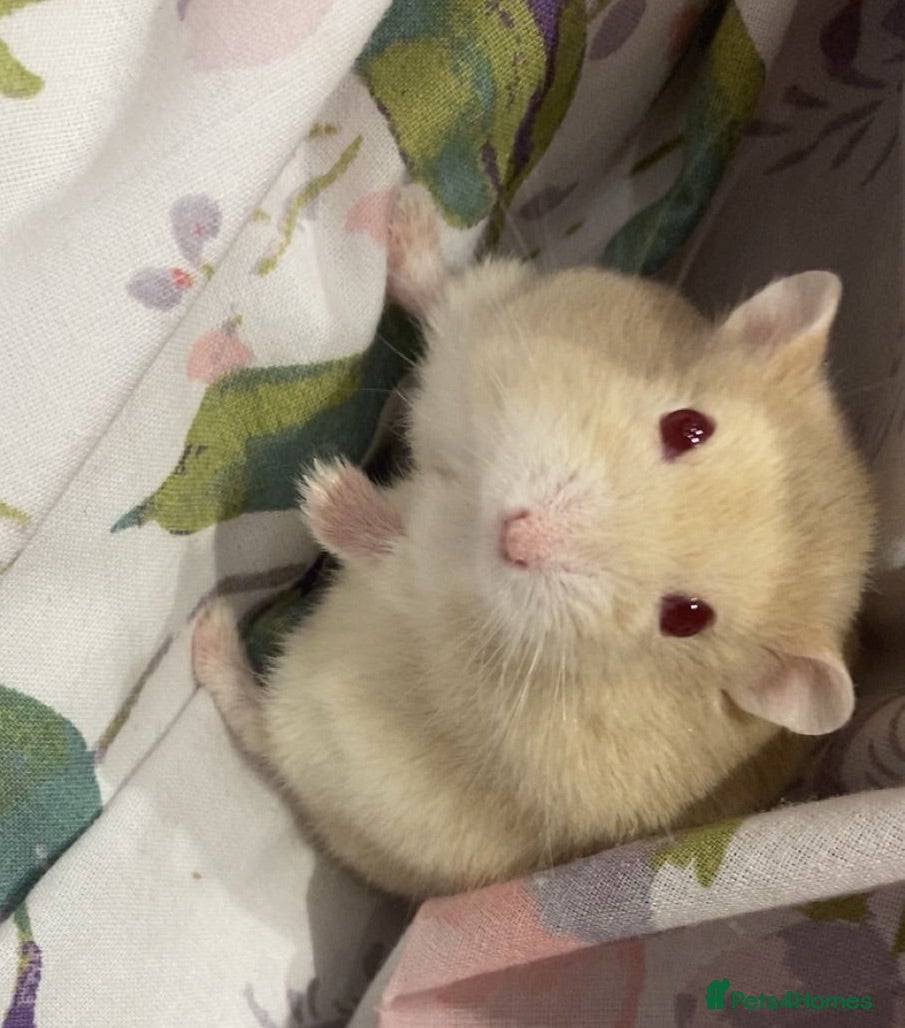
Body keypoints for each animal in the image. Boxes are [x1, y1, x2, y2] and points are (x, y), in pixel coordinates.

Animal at [192, 186, 875, 900]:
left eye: (687, 617)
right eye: (688, 426)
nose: (515, 534)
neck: (471, 503)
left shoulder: (441, 602)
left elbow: (406, 556)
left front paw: (322, 489)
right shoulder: (484, 335)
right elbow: (446, 302)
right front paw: (403, 215)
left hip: (326, 747)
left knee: (264, 734)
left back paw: (212, 628)